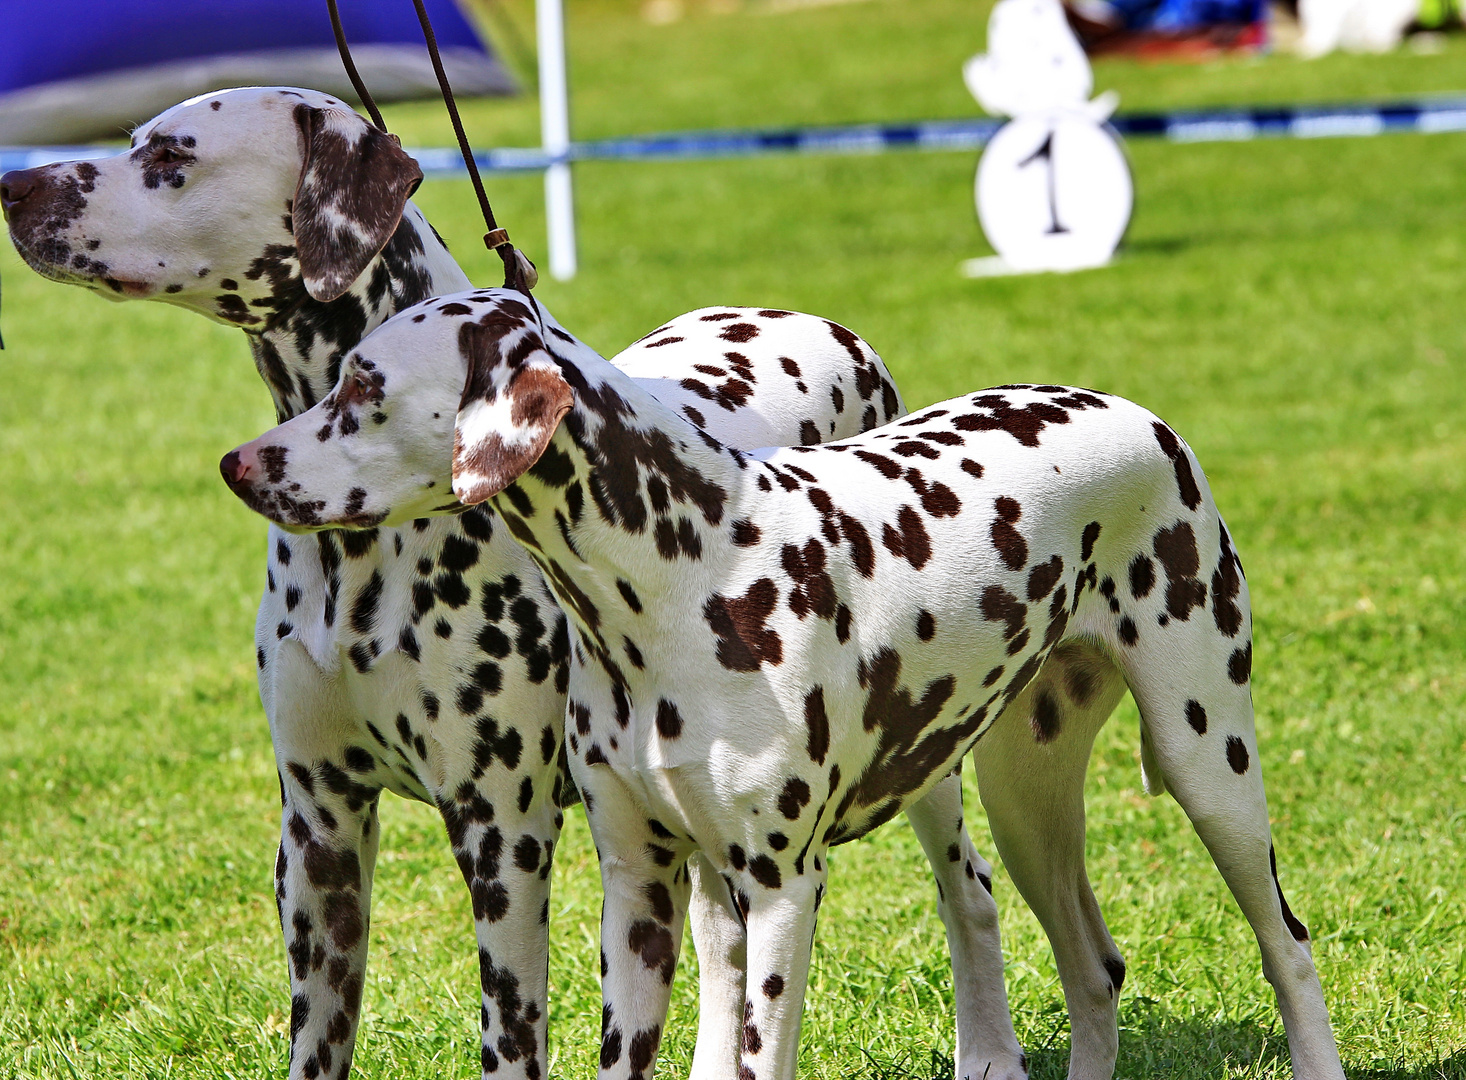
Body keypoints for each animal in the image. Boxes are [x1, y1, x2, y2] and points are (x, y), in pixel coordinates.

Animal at [2, 90, 1032, 1078]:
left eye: (170, 156)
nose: (15, 185)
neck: (363, 555)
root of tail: (832, 327)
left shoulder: (503, 835)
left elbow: (511, 1040)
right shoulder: (318, 824)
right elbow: (319, 1039)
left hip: (913, 765)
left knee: (968, 890)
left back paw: (988, 1051)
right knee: (723, 943)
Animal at [222, 284, 1342, 1078]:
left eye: (365, 387)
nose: (239, 463)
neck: (682, 569)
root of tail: (1134, 414)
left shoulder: (778, 890)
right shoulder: (637, 886)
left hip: (1208, 767)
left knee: (1286, 946)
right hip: (1023, 798)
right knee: (1092, 969)